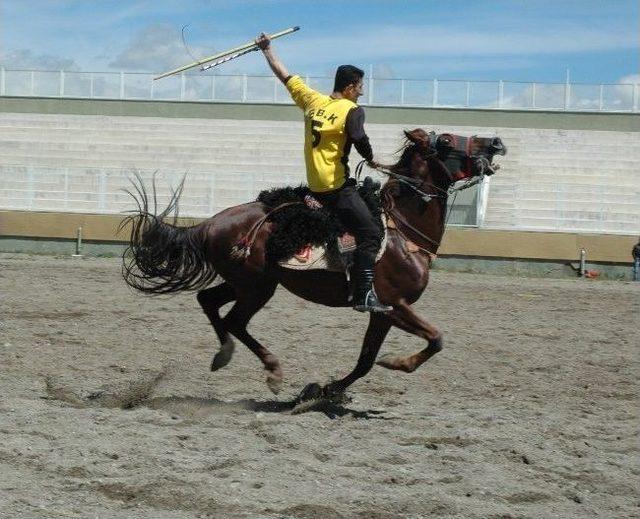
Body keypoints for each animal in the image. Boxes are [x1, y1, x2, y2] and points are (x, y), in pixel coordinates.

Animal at [122, 129, 508, 402]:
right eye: (446, 140)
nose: (497, 143)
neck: (402, 230)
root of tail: (209, 224)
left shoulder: (383, 313)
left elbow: (366, 360)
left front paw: (325, 391)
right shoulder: (394, 305)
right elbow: (435, 339)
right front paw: (398, 363)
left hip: (246, 283)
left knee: (209, 302)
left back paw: (224, 354)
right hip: (256, 287)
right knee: (234, 320)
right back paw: (272, 372)